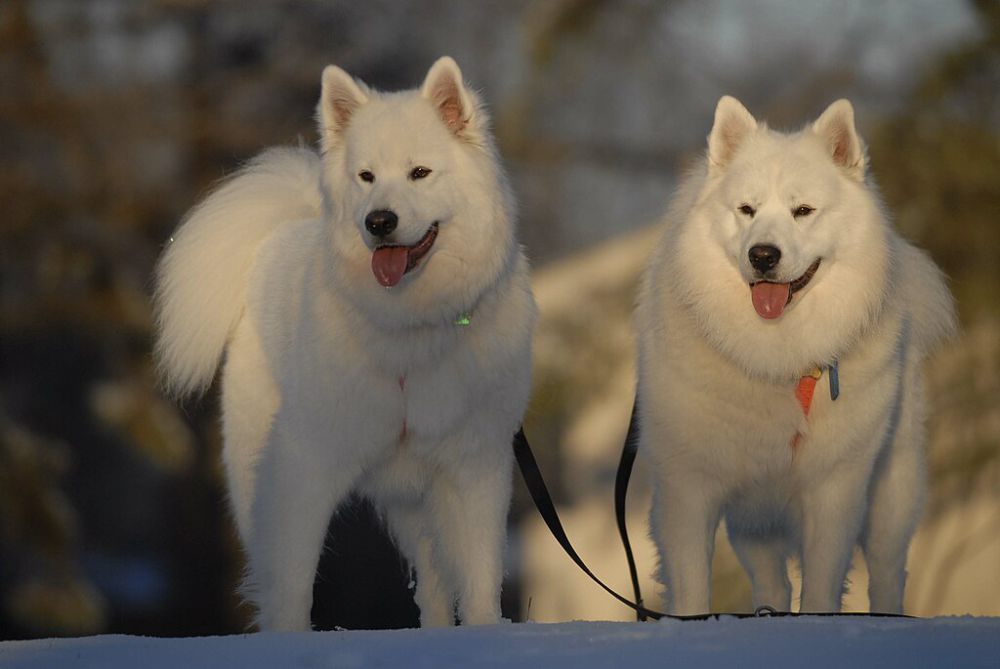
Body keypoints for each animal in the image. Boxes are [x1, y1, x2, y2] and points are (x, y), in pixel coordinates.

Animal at [152, 58, 536, 632]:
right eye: (366, 177)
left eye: (419, 173)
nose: (379, 221)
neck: (411, 325)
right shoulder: (304, 460)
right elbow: (292, 578)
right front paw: (291, 640)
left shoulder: (474, 465)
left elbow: (480, 579)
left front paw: (484, 635)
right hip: (256, 468)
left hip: (415, 496)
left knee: (434, 585)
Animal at [636, 96, 956, 612]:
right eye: (746, 210)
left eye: (803, 210)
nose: (763, 255)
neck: (776, 356)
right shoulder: (688, 487)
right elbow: (692, 590)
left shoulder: (834, 490)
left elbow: (822, 586)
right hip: (755, 523)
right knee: (773, 585)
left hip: (892, 490)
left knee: (888, 572)